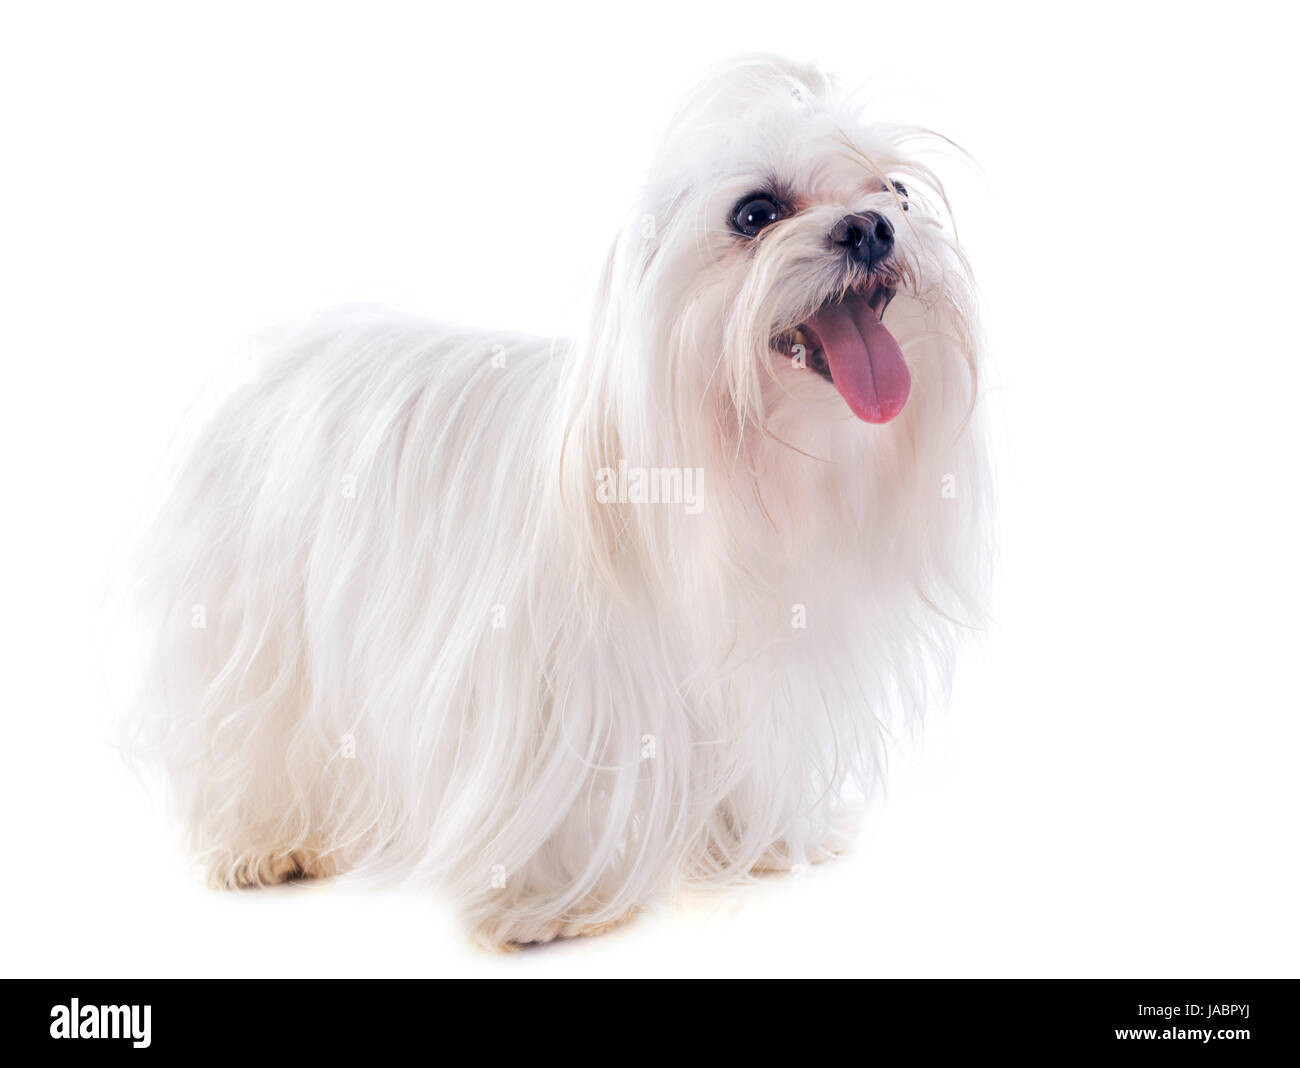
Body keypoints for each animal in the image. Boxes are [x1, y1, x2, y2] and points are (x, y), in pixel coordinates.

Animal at [129, 54, 982, 951]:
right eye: (755, 213)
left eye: (898, 191)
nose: (871, 229)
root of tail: (288, 348)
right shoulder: (545, 691)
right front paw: (547, 901)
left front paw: (753, 842)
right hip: (257, 633)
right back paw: (265, 841)